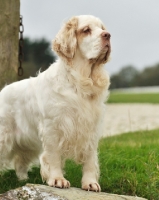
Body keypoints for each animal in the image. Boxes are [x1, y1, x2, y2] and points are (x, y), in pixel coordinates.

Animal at [0, 14, 111, 191]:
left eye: (102, 28)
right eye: (86, 30)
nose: (107, 35)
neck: (80, 83)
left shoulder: (91, 129)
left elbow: (90, 159)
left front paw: (90, 183)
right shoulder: (53, 128)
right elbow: (53, 157)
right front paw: (57, 179)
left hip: (28, 142)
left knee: (20, 161)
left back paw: (23, 179)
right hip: (4, 137)